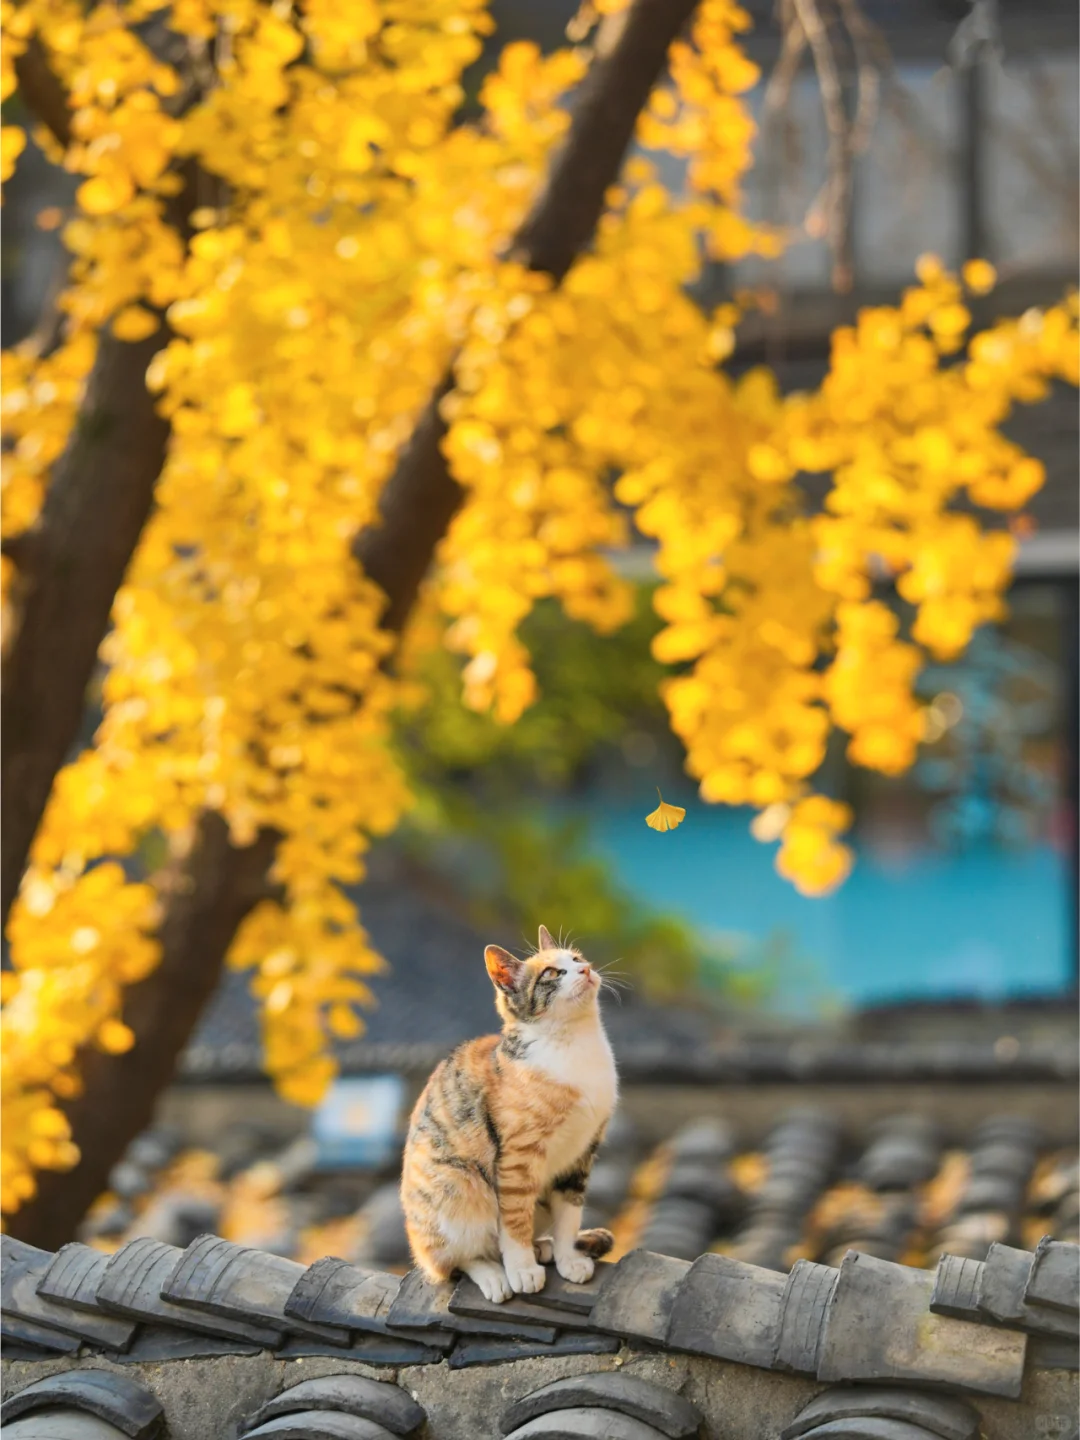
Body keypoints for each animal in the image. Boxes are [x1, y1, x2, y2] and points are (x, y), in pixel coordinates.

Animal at [400, 927, 622, 1301]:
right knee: (458, 1260)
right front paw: (522, 1270)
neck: (574, 1045)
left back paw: (544, 1247)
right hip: (459, 1186)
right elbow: (515, 1220)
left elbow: (569, 1214)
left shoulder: (582, 1151)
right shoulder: (518, 1158)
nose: (586, 969)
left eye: (576, 958)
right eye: (552, 973)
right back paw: (495, 1274)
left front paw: (568, 1258)